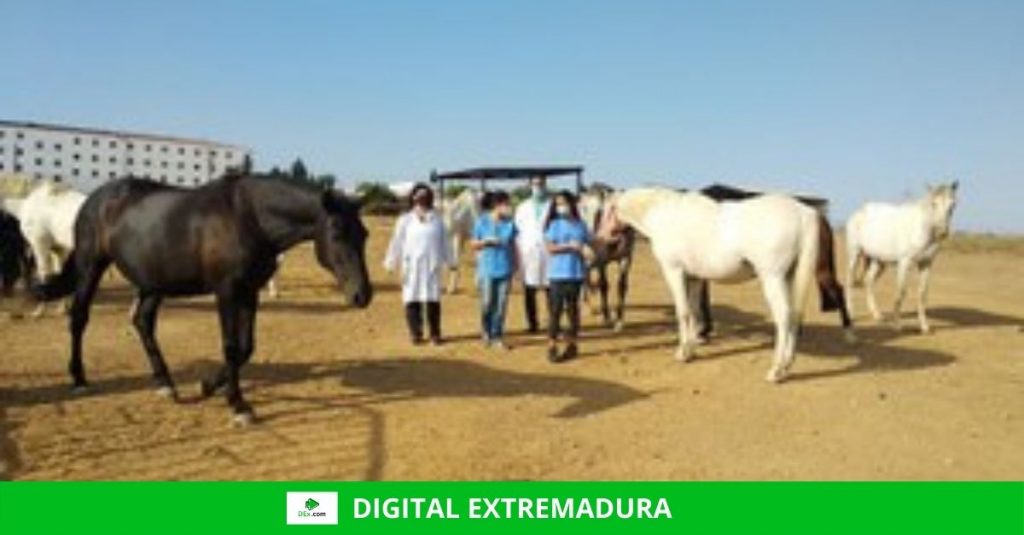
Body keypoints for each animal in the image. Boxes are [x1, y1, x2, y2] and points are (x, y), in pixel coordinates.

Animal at [0, 179, 86, 317]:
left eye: (4, 262)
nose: (6, 293)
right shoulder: (58, 248)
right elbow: (58, 272)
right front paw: (62, 308)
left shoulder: (39, 244)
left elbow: (43, 273)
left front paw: (38, 311)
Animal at [32, 174, 373, 424]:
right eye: (337, 232)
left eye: (365, 234)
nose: (362, 295)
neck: (248, 217)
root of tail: (94, 199)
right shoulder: (227, 291)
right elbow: (231, 347)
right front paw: (238, 405)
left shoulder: (249, 291)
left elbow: (246, 348)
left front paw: (209, 386)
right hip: (91, 265)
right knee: (79, 317)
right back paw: (79, 378)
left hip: (153, 282)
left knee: (143, 322)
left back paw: (165, 384)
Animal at [579, 187, 635, 331]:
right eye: (607, 209)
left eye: (600, 211)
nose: (590, 235)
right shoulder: (602, 261)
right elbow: (603, 285)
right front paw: (607, 318)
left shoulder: (626, 259)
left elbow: (621, 286)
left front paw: (619, 320)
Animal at [598, 187, 849, 382]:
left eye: (606, 211)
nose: (601, 239)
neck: (665, 214)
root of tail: (804, 212)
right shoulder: (695, 277)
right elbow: (695, 311)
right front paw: (692, 350)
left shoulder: (674, 272)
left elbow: (683, 312)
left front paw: (682, 353)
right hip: (789, 277)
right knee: (795, 315)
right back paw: (787, 365)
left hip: (773, 278)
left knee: (784, 317)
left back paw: (776, 370)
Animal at [845, 181, 958, 333]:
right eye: (933, 204)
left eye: (952, 205)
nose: (942, 233)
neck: (921, 229)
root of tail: (859, 212)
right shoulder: (905, 263)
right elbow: (901, 292)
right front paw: (897, 326)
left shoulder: (926, 263)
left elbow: (922, 294)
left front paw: (925, 327)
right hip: (855, 254)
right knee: (850, 281)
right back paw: (850, 314)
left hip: (878, 261)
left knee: (868, 281)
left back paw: (877, 315)